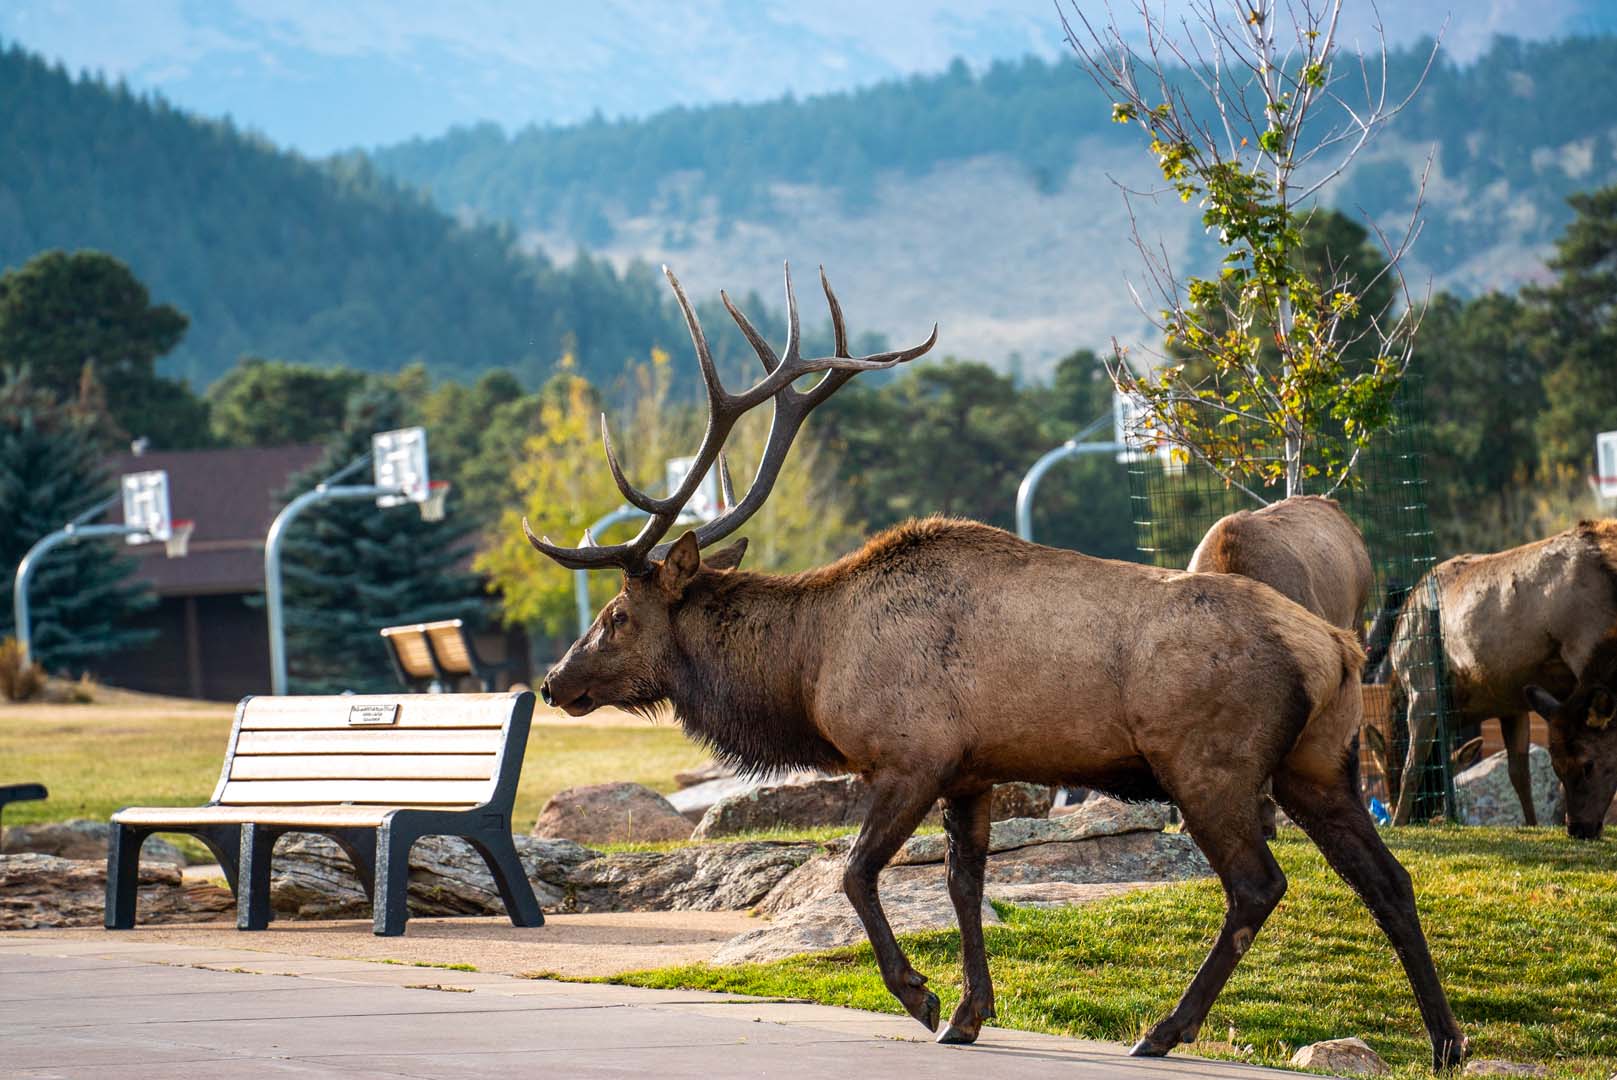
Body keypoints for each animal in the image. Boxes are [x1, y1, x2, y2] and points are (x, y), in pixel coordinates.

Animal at [527, 265, 1468, 1067]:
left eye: (616, 616)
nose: (553, 682)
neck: (808, 669)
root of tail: (1337, 648)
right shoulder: (973, 770)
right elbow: (960, 884)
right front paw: (970, 1012)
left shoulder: (910, 755)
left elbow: (856, 872)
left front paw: (919, 998)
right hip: (1320, 762)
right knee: (1388, 879)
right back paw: (1444, 1041)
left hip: (1210, 762)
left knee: (1257, 884)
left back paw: (1163, 1030)